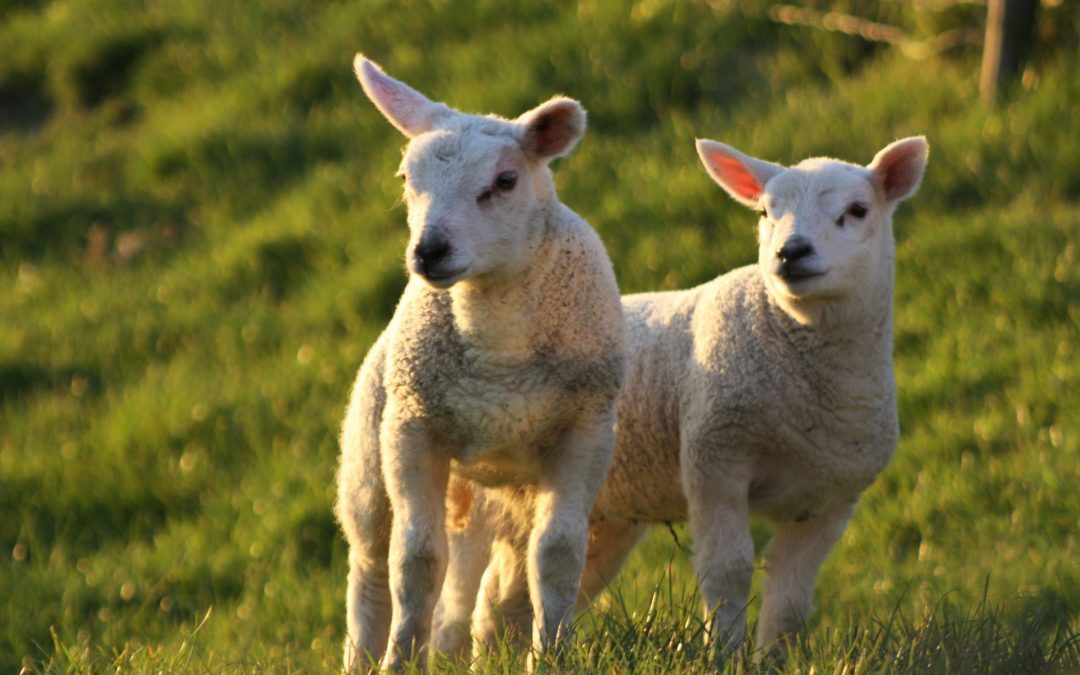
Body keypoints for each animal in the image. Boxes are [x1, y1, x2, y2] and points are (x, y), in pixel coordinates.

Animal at [334, 55, 626, 669]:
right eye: (406, 180)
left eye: (504, 181)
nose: (429, 252)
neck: (499, 355)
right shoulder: (412, 430)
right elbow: (415, 562)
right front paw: (400, 662)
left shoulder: (586, 431)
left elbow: (557, 556)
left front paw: (550, 656)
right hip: (370, 460)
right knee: (370, 568)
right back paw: (365, 659)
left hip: (497, 496)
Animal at [438, 135, 928, 656]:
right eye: (765, 212)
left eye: (857, 210)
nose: (791, 252)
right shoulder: (715, 459)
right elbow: (728, 571)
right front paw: (726, 656)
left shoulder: (828, 501)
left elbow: (791, 600)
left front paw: (773, 659)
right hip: (502, 499)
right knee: (482, 600)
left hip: (598, 513)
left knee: (519, 594)